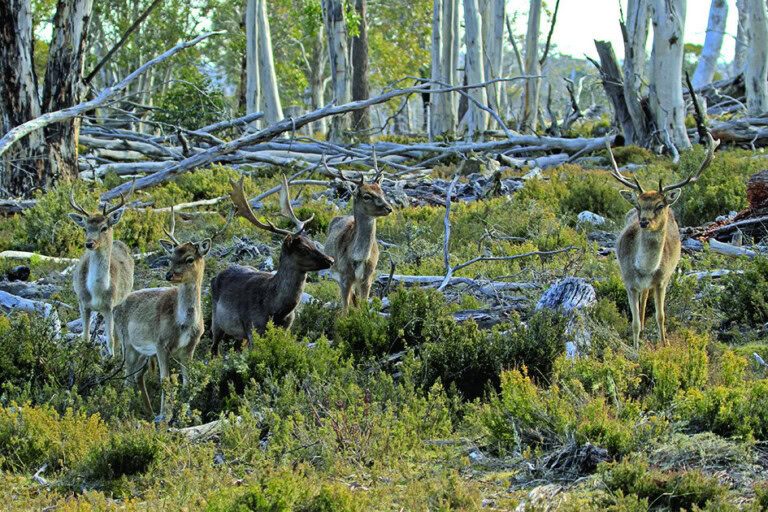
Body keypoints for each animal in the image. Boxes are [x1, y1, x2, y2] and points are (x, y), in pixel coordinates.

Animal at [68, 184, 135, 358]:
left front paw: (110, 359)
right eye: (85, 228)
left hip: (121, 302)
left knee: (118, 337)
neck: (97, 291)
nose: (89, 243)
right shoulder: (82, 302)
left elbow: (110, 340)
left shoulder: (109, 306)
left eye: (104, 227)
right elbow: (85, 338)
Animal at [115, 207, 231, 420]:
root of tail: (115, 306)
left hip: (144, 352)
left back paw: (147, 410)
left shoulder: (189, 346)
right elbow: (165, 380)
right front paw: (165, 416)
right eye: (171, 257)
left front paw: (186, 412)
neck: (183, 324)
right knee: (126, 376)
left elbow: (187, 380)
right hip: (127, 343)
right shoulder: (161, 343)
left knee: (137, 376)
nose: (169, 275)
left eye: (189, 259)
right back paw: (127, 409)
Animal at [210, 175, 334, 354]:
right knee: (213, 348)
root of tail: (215, 276)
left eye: (313, 243)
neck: (275, 310)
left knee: (236, 346)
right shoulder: (253, 327)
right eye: (303, 249)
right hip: (216, 320)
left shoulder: (287, 328)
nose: (331, 260)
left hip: (239, 334)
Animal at [323, 157, 393, 310]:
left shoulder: (368, 277)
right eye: (366, 196)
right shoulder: (344, 276)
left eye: (382, 192)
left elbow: (363, 306)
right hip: (336, 273)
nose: (389, 208)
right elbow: (345, 309)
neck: (359, 257)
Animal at [608, 133, 719, 347]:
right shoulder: (628, 281)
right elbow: (634, 322)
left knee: (647, 299)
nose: (643, 221)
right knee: (642, 302)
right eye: (639, 204)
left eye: (660, 205)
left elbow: (661, 316)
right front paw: (636, 348)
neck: (645, 269)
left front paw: (664, 344)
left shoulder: (662, 281)